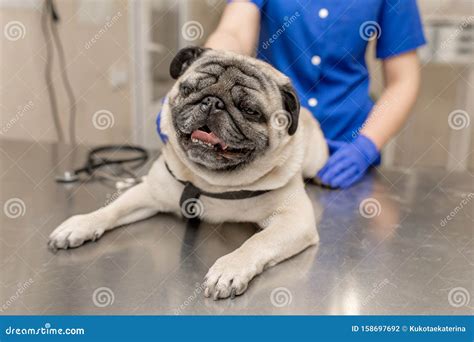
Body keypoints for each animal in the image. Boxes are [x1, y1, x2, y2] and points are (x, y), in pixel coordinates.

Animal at [49, 46, 330, 300]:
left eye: (250, 111)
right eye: (189, 89)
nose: (213, 102)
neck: (212, 182)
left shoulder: (294, 219)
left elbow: (258, 241)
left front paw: (231, 268)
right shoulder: (148, 193)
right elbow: (112, 210)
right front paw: (81, 224)